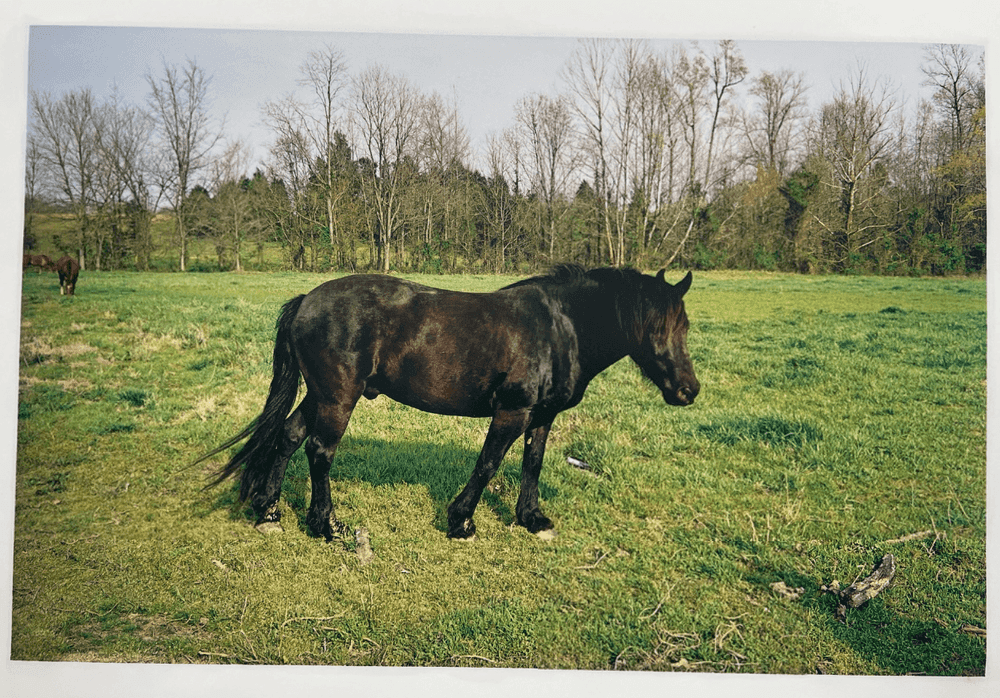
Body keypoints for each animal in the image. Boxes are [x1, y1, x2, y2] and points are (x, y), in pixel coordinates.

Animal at [197, 265, 699, 542]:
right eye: (655, 327)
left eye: (685, 326)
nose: (688, 391)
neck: (559, 327)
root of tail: (306, 301)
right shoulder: (513, 411)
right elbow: (489, 464)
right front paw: (461, 522)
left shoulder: (543, 415)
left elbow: (532, 463)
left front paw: (532, 518)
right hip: (339, 397)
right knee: (320, 451)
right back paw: (326, 525)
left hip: (321, 394)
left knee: (288, 436)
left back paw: (269, 511)